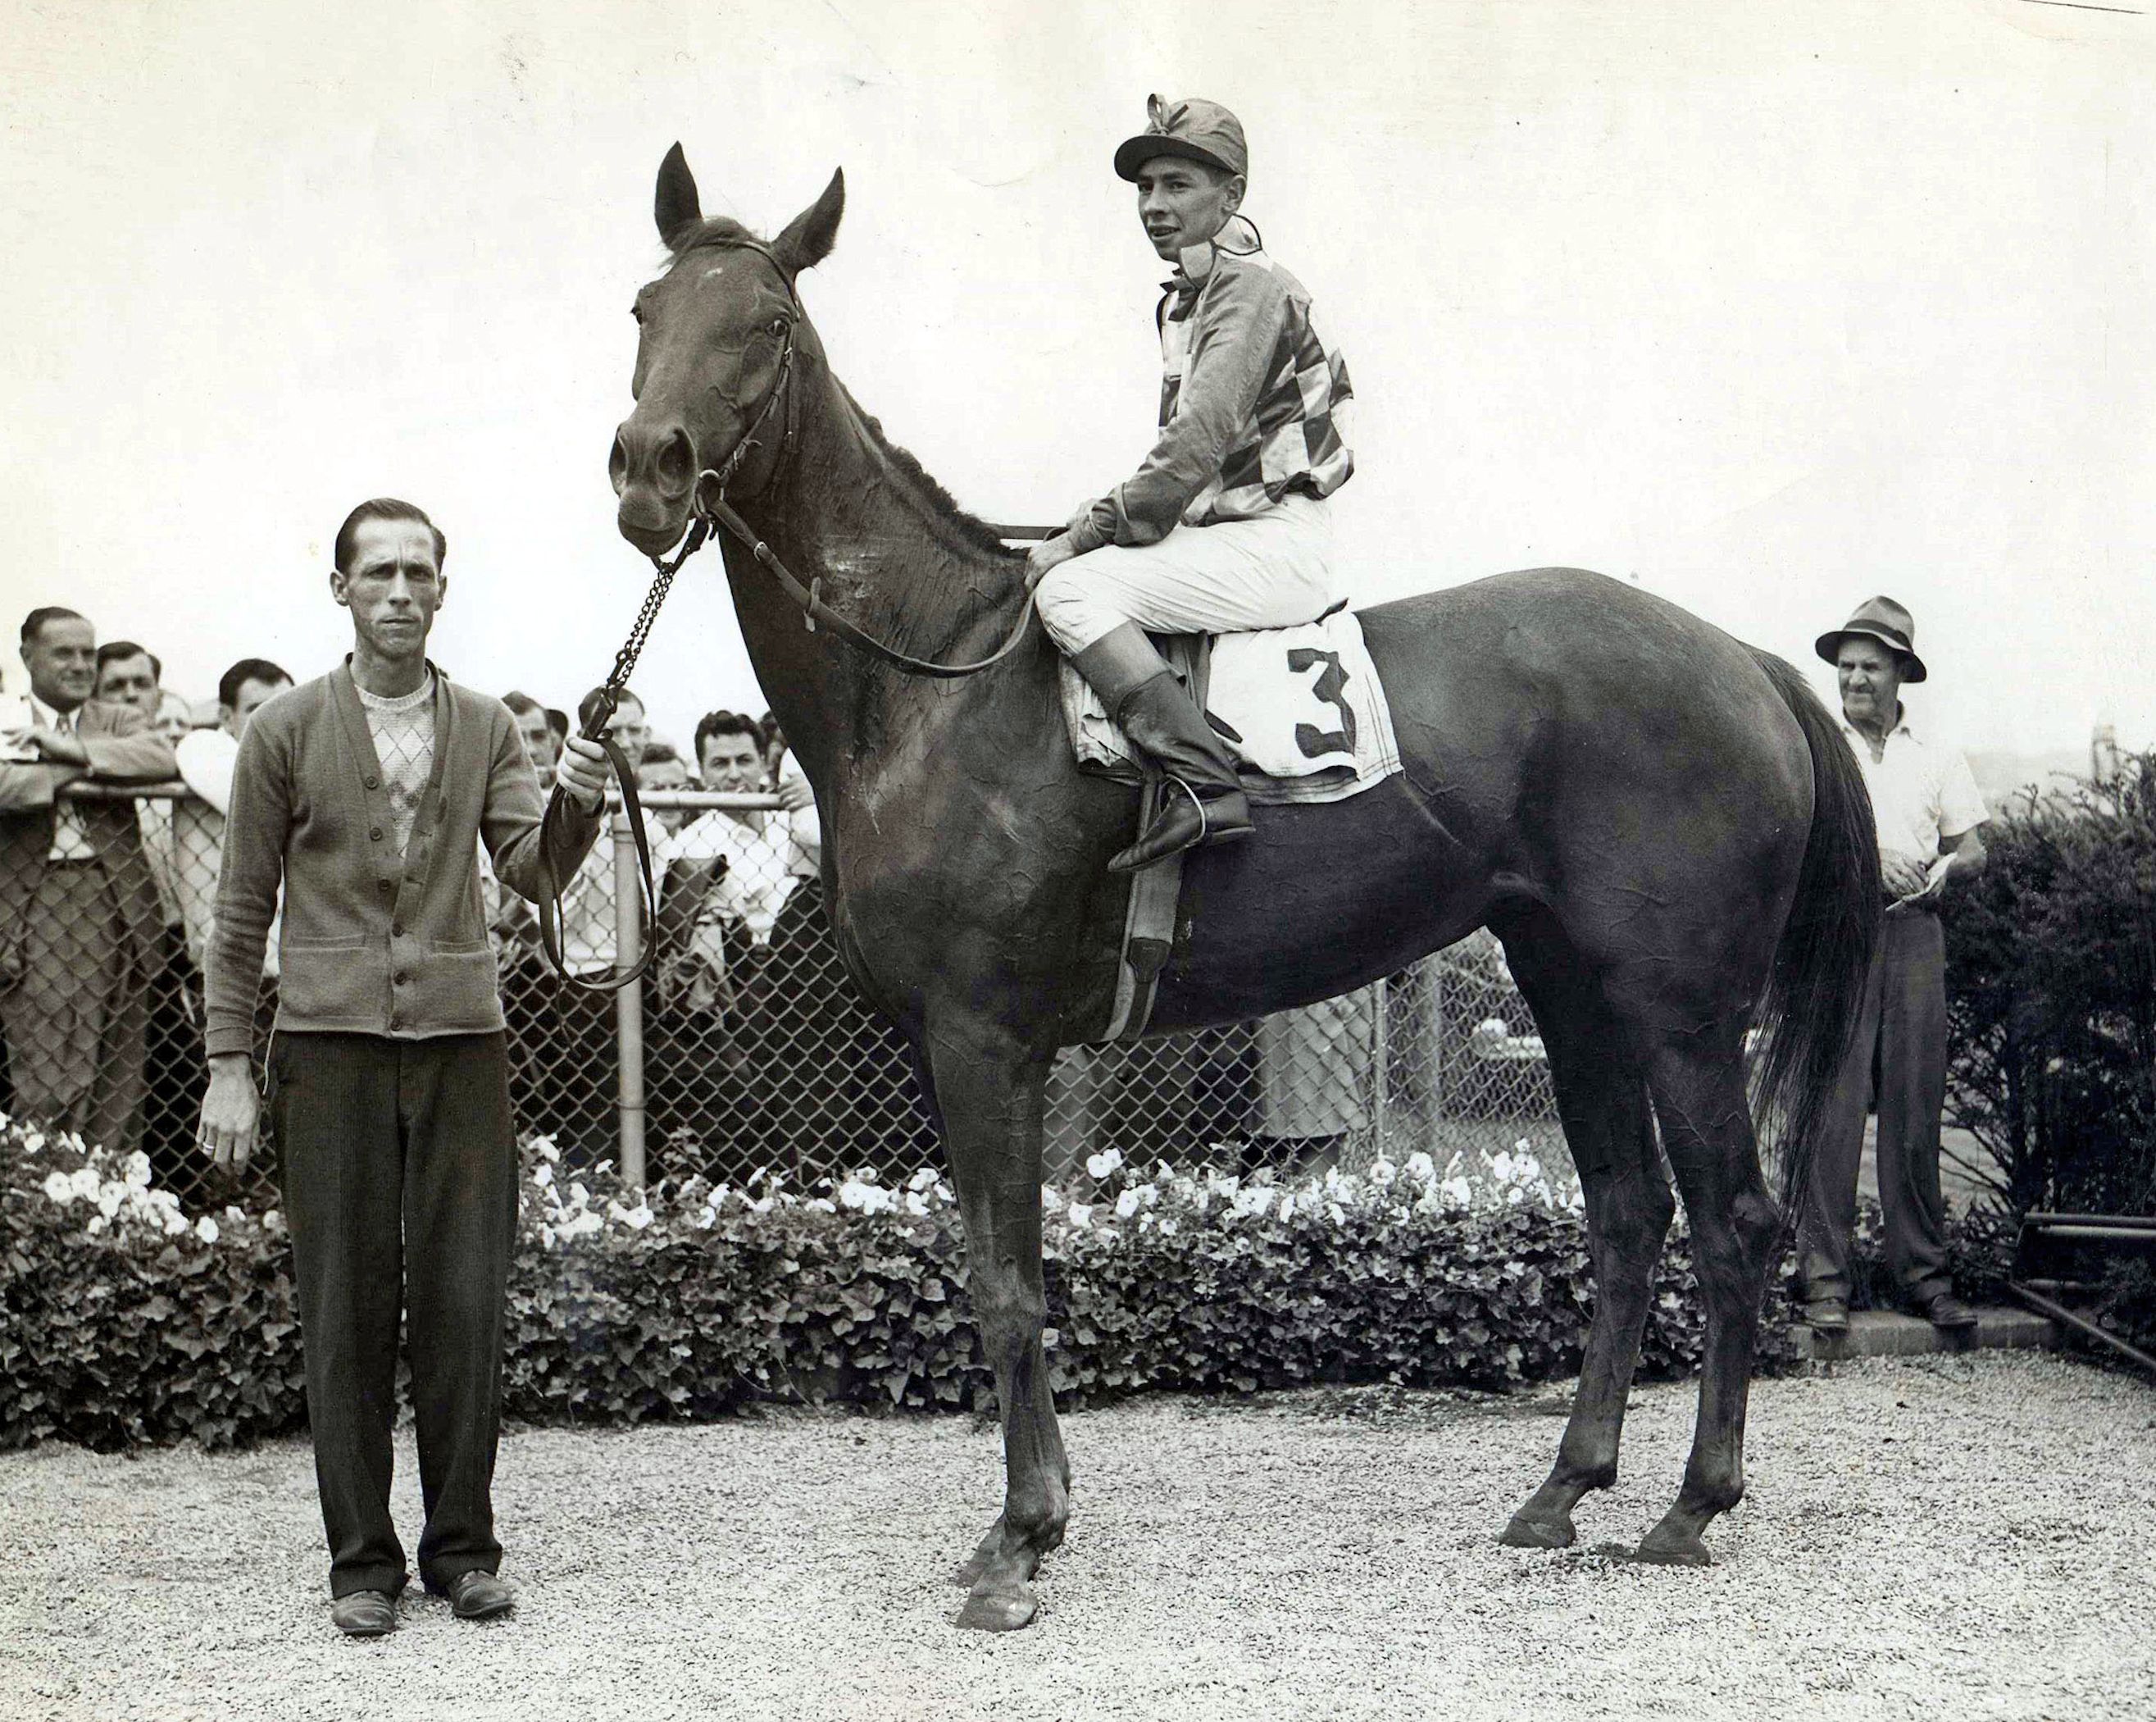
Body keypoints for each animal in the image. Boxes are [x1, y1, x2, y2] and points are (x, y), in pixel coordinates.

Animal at [603, 144, 1871, 1631]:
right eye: (646, 307)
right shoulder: (972, 1051)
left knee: (1733, 1225)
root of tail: (1743, 660)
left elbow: (1006, 1287)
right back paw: (1564, 1490)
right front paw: (1029, 1524)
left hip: (1682, 1012)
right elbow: (1008, 1273)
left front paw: (1020, 1541)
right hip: (1574, 994)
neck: (933, 681)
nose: (647, 468)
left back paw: (1691, 1506)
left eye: (769, 326)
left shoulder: (985, 1041)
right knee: (1626, 1218)